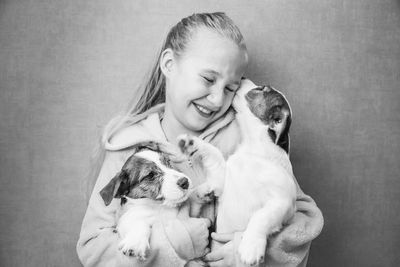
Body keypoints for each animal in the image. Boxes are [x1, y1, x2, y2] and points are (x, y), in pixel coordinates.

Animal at [178, 79, 296, 266]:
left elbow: (261, 217)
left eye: (261, 89)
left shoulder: (282, 202)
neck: (254, 151)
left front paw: (251, 246)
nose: (242, 78)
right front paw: (193, 143)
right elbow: (214, 154)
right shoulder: (223, 181)